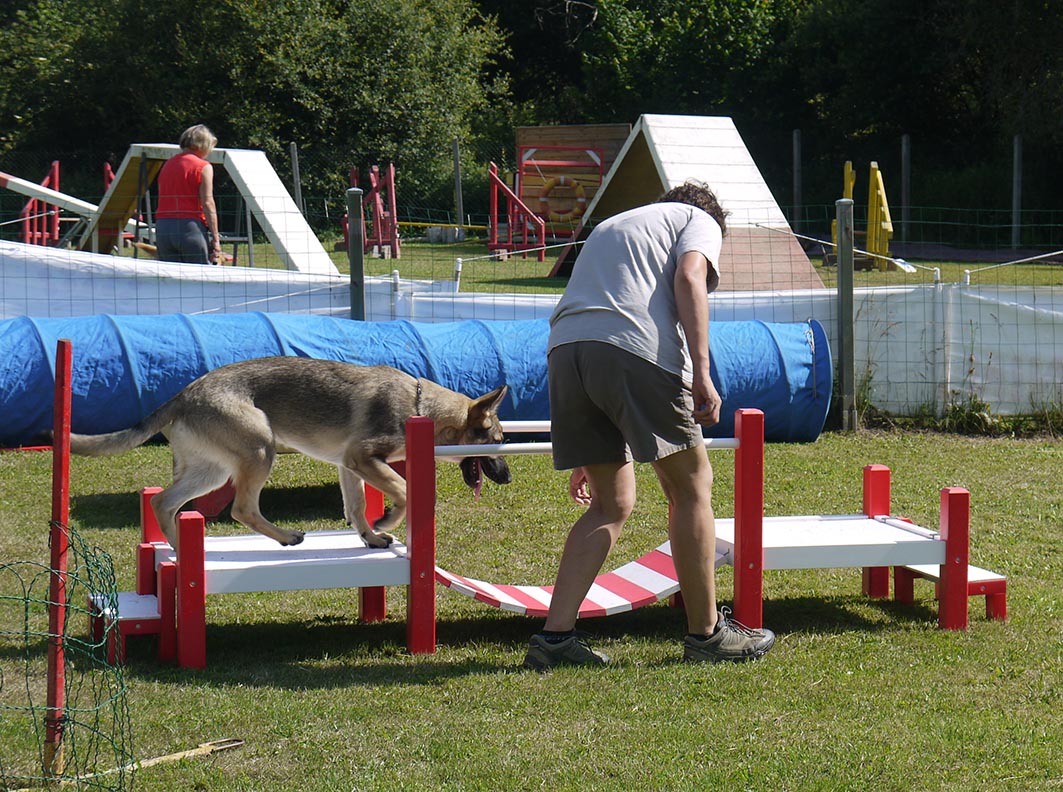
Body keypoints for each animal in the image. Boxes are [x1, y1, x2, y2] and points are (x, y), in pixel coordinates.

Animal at [69, 359, 510, 548]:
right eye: (498, 440)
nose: (508, 477)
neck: (421, 407)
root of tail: (183, 395)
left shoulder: (349, 466)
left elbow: (354, 507)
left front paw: (371, 536)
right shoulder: (364, 459)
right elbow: (403, 491)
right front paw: (387, 520)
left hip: (211, 473)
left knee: (162, 502)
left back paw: (180, 550)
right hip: (259, 451)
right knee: (241, 509)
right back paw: (285, 536)